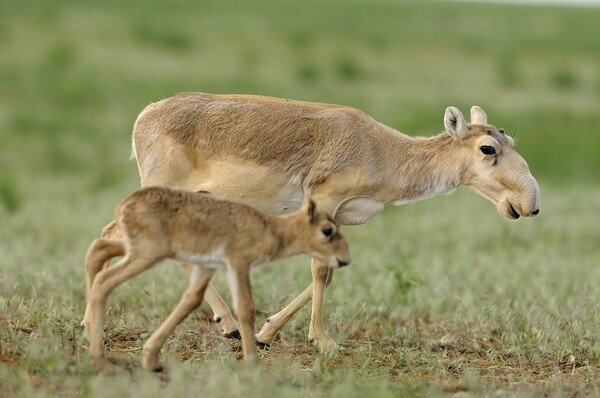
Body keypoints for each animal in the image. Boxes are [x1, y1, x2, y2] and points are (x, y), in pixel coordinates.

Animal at [101, 93, 540, 354]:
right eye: (488, 148)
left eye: (511, 140)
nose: (530, 204)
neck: (382, 150)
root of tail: (143, 117)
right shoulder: (324, 203)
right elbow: (320, 270)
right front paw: (324, 341)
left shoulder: (339, 217)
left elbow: (330, 271)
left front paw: (266, 332)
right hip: (161, 190)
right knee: (116, 235)